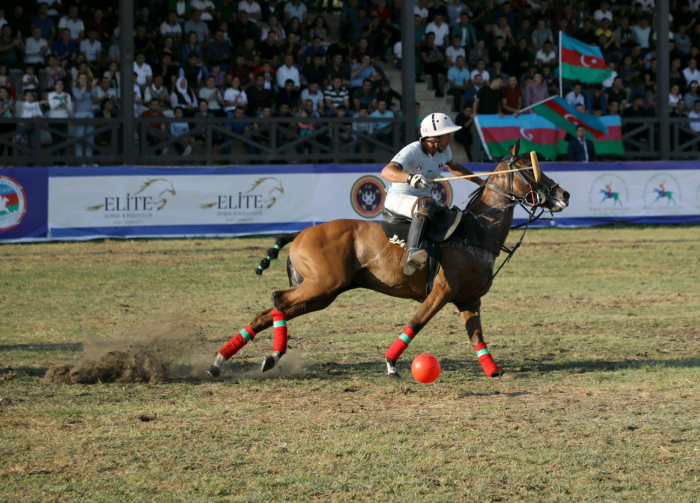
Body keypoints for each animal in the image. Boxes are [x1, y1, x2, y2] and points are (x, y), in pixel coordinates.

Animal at [208, 141, 568, 378]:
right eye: (530, 170)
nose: (563, 194)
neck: (478, 231)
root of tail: (299, 234)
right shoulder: (441, 291)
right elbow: (415, 324)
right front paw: (391, 364)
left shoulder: (469, 299)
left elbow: (478, 338)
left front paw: (493, 371)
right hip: (323, 283)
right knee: (277, 299)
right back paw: (269, 355)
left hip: (321, 293)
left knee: (267, 312)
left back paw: (221, 362)